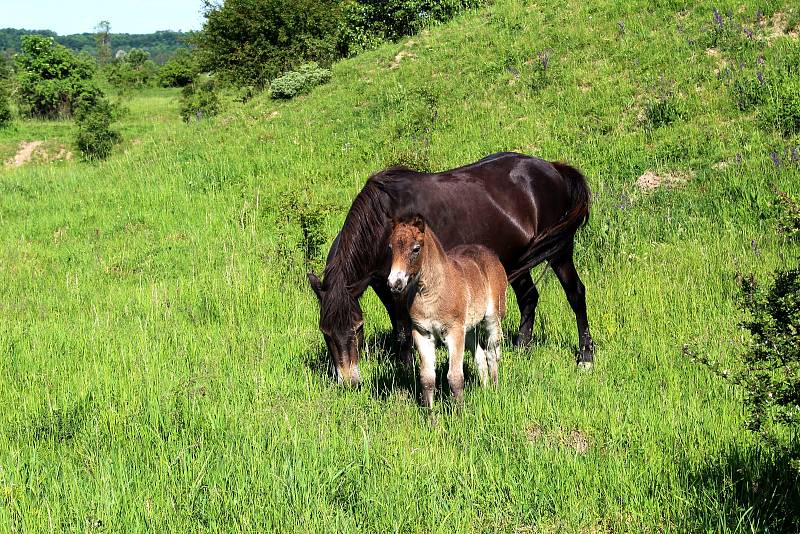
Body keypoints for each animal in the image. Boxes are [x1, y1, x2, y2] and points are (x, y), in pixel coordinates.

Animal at [306, 152, 592, 386]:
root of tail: (553, 168)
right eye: (326, 333)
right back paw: (522, 348)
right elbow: (398, 329)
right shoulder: (384, 285)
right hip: (515, 261)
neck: (383, 222)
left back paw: (585, 357)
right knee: (529, 297)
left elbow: (404, 331)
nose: (348, 382)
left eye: (357, 328)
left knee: (576, 294)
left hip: (560, 252)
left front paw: (407, 373)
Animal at [386, 216, 506, 408]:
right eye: (390, 248)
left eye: (416, 249)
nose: (394, 284)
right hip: (468, 328)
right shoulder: (422, 333)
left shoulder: (454, 332)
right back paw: (486, 389)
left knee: (492, 353)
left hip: (492, 319)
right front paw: (431, 416)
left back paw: (494, 390)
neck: (431, 293)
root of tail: (489, 253)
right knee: (480, 355)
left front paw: (460, 413)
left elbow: (455, 377)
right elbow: (427, 378)